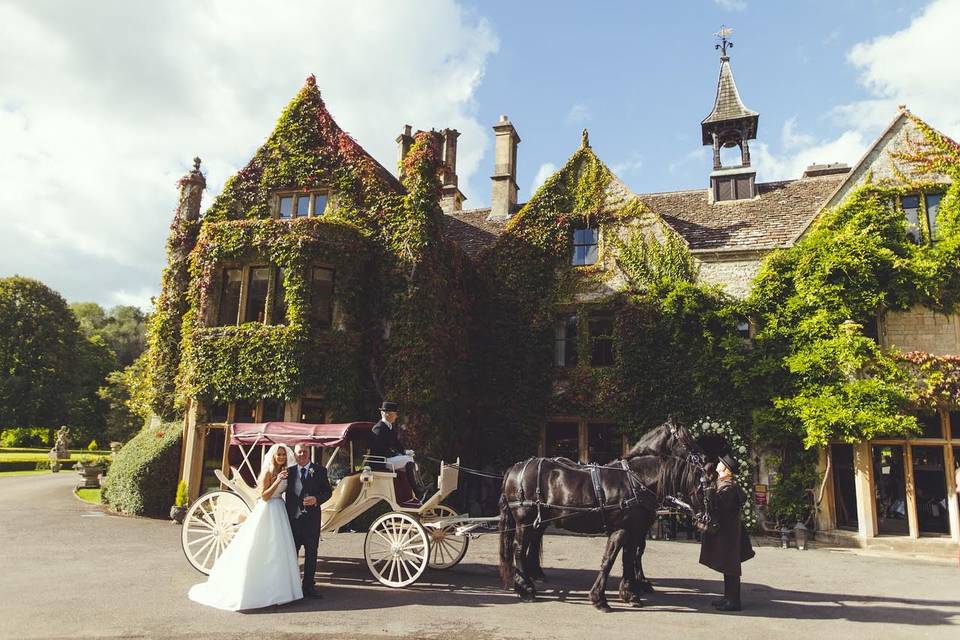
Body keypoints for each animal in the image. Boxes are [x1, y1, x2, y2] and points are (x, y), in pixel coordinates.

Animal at [498, 420, 708, 608]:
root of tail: (516, 467)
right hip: (524, 520)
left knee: (529, 545)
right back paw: (525, 588)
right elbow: (611, 558)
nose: (704, 460)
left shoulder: (635, 529)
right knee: (518, 548)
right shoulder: (623, 529)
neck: (636, 479)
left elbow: (629, 557)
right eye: (686, 441)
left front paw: (631, 591)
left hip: (538, 521)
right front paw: (601, 597)